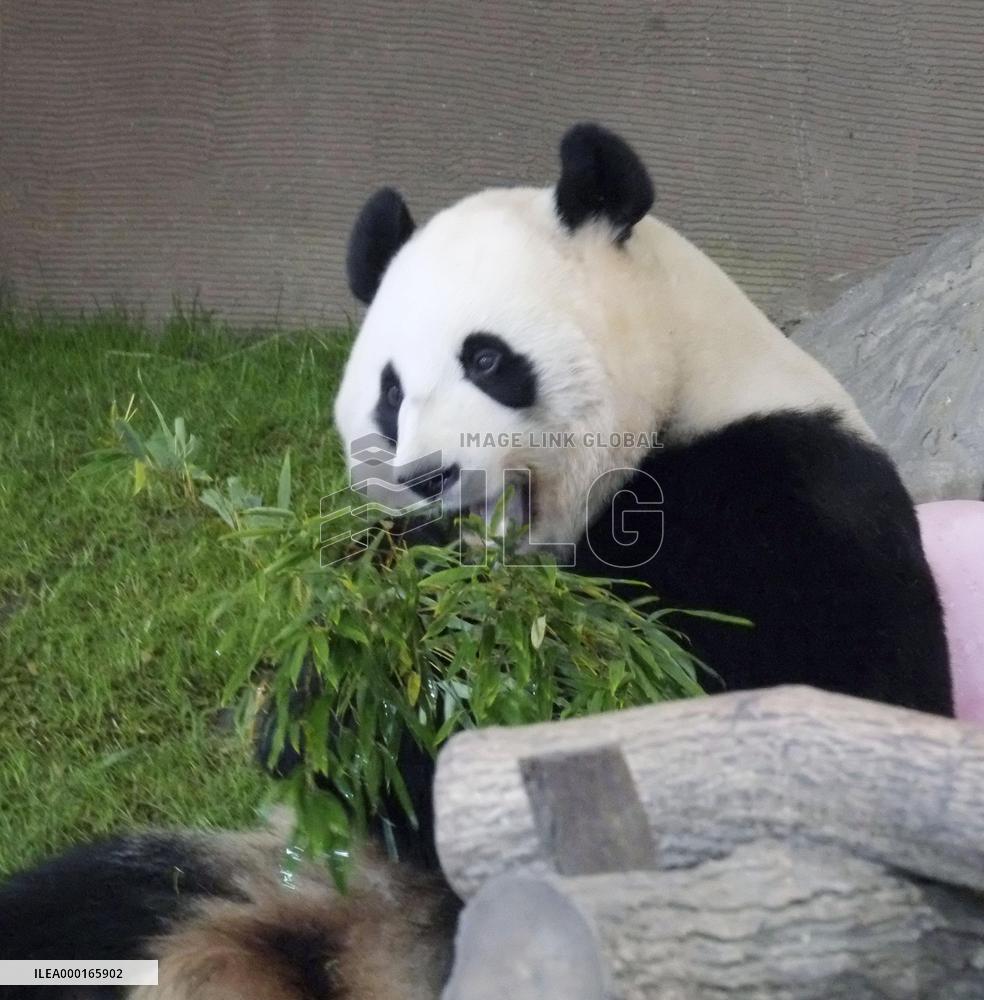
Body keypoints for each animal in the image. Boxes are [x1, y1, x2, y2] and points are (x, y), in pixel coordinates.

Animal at [0, 123, 951, 999]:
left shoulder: (790, 502)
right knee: (85, 905)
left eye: (488, 358)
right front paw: (324, 697)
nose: (429, 475)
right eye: (389, 392)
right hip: (253, 884)